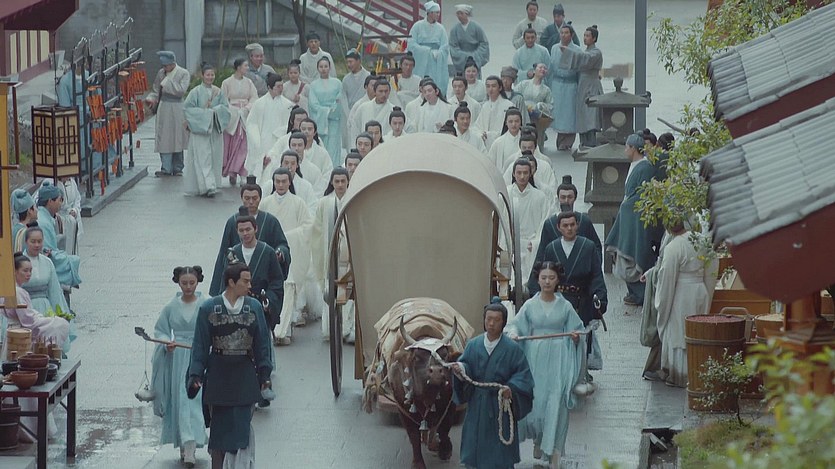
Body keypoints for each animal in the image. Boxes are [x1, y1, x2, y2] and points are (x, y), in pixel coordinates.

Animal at [388, 316, 461, 469]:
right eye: (417, 357)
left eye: (445, 355)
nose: (436, 373)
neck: (428, 398)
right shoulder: (403, 409)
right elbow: (414, 436)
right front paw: (417, 463)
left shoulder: (451, 404)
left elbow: (444, 428)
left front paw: (445, 450)